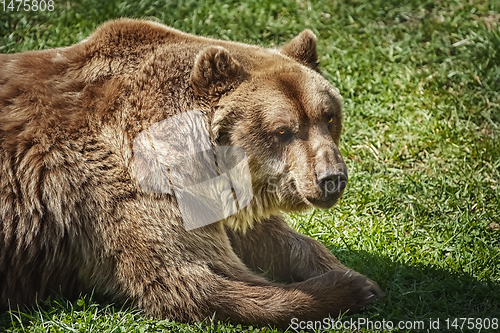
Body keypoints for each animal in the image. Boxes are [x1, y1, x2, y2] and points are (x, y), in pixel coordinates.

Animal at [0, 18, 378, 326]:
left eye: (328, 117)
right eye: (282, 130)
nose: (331, 178)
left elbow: (272, 238)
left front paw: (346, 271)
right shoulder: (120, 186)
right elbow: (191, 280)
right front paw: (352, 287)